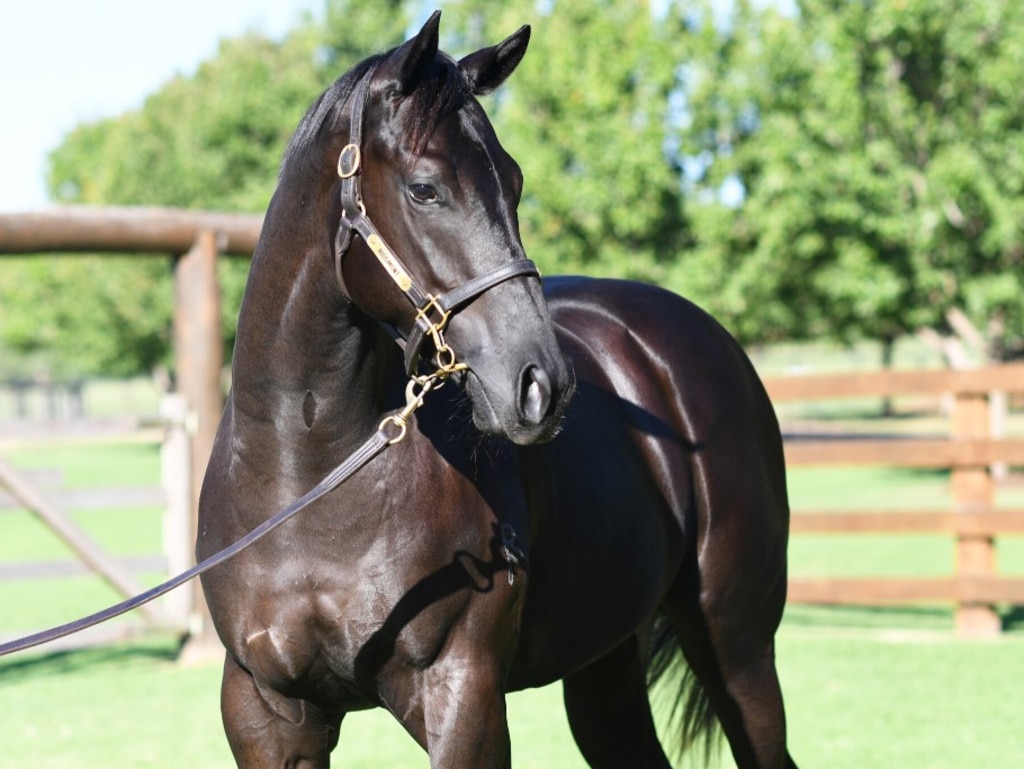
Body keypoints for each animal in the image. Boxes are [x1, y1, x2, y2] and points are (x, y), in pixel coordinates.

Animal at [195, 13, 794, 769]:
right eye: (425, 188)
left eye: (514, 181)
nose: (543, 384)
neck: (309, 473)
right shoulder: (267, 711)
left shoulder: (463, 695)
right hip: (604, 663)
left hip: (736, 644)